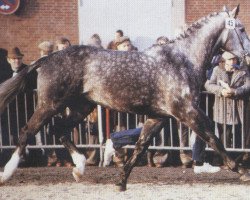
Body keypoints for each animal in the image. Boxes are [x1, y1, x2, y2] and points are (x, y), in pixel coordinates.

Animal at [0, 5, 250, 191]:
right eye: (241, 28)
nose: (248, 56)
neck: (182, 60)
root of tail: (46, 59)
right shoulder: (187, 112)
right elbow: (212, 138)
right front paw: (241, 171)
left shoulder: (158, 117)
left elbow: (140, 146)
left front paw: (121, 182)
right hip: (50, 104)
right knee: (27, 131)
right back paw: (7, 173)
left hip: (81, 107)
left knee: (58, 129)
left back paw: (79, 168)